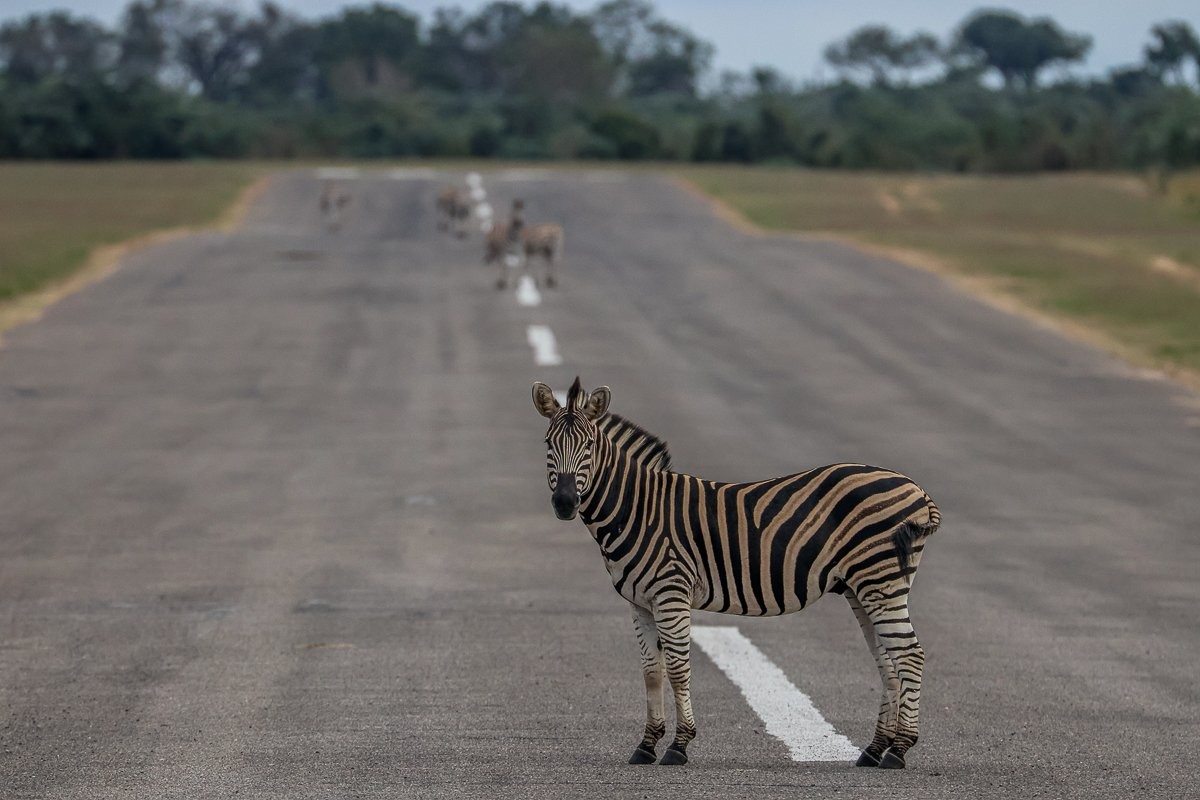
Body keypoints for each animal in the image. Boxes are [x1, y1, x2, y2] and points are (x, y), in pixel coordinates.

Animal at [532, 377, 942, 770]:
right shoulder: (640, 602)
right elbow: (651, 671)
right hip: (863, 587)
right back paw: (874, 750)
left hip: (881, 580)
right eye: (548, 444)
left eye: (589, 446)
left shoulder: (671, 592)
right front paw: (646, 745)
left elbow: (677, 668)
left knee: (910, 655)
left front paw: (679, 745)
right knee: (888, 660)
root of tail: (916, 489)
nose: (565, 503)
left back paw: (898, 751)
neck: (637, 509)